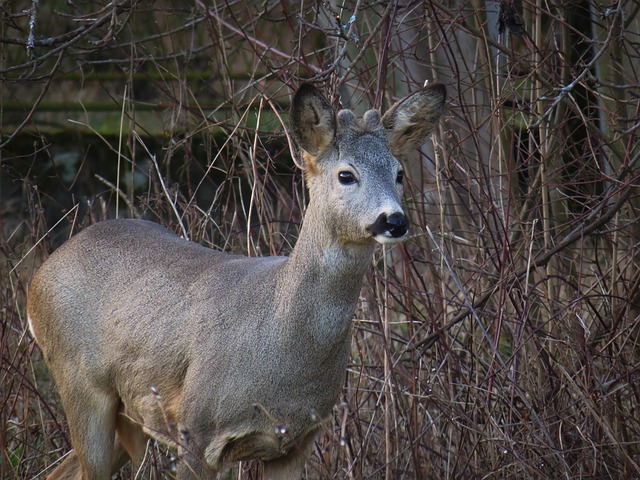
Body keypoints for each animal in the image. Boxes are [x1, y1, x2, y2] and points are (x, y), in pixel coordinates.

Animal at [28, 80, 444, 478]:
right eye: (346, 174)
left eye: (399, 173)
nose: (394, 220)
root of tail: (40, 276)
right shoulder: (195, 430)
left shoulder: (297, 441)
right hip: (79, 381)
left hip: (125, 413)